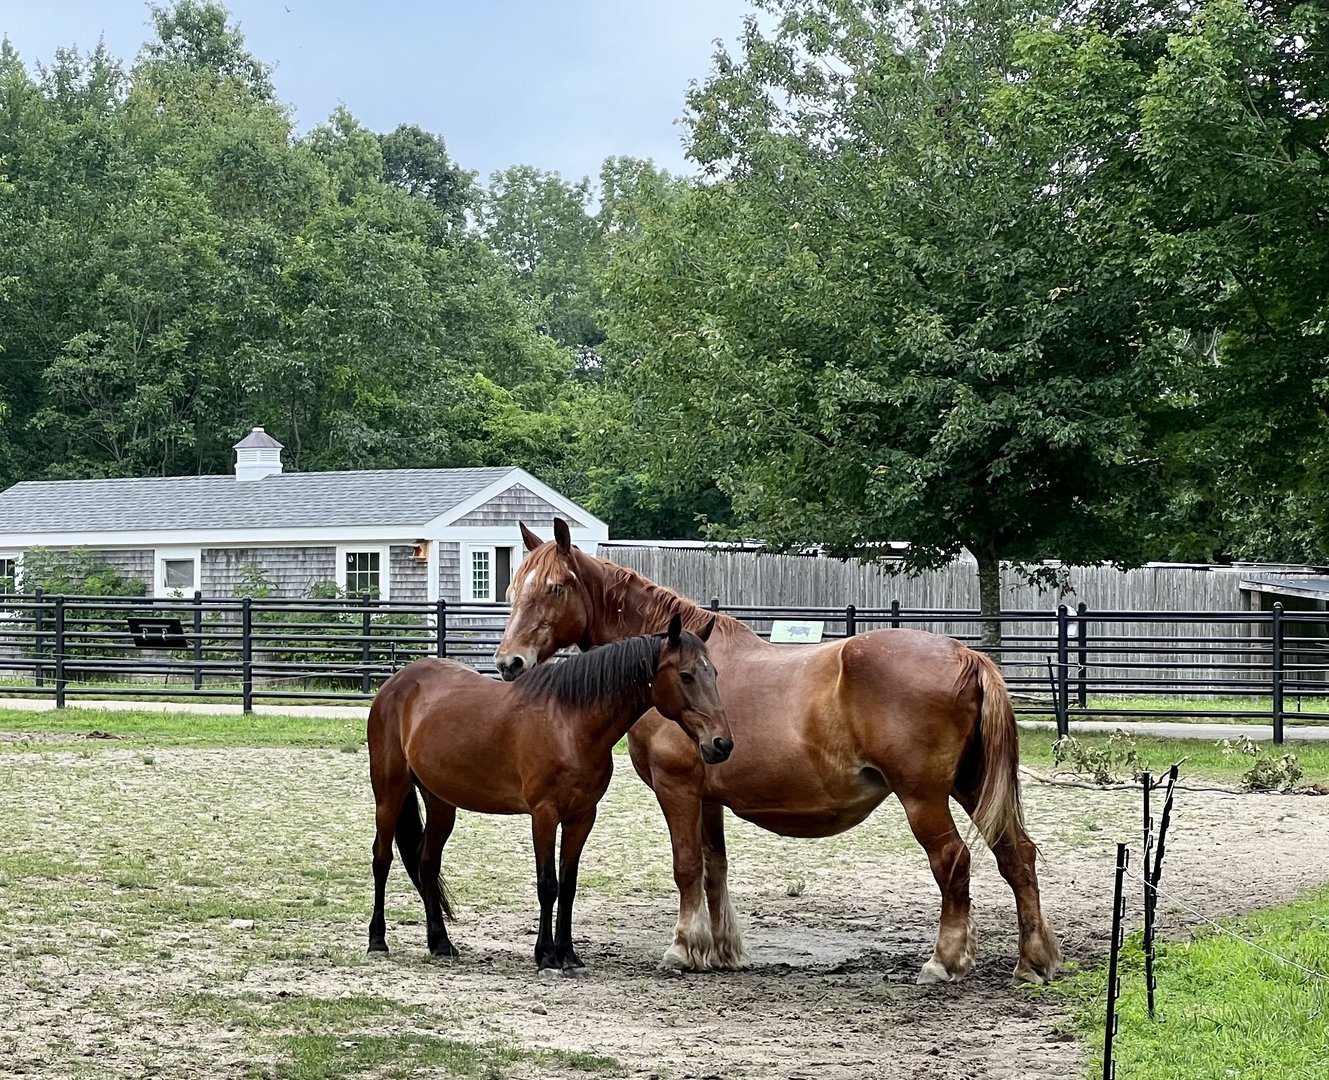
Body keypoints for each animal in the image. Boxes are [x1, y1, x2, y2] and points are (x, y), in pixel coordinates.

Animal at [366, 613, 733, 976]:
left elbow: (568, 886)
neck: (570, 724)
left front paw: (568, 955)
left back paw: (441, 944)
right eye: (686, 676)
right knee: (382, 858)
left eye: (714, 673)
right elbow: (548, 885)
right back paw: (377, 942)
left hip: (441, 802)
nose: (721, 743)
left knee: (427, 863)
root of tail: (396, 683)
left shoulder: (581, 818)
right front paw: (546, 957)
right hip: (389, 793)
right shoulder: (544, 815)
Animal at [494, 520, 1062, 985]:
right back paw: (1034, 960)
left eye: (554, 587)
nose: (508, 663)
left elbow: (686, 866)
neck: (675, 670)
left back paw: (944, 961)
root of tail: (967, 655)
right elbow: (714, 867)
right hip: (972, 785)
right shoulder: (708, 798)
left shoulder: (677, 789)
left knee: (953, 861)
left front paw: (683, 949)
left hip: (923, 797)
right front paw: (722, 950)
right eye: (512, 588)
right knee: (1016, 855)